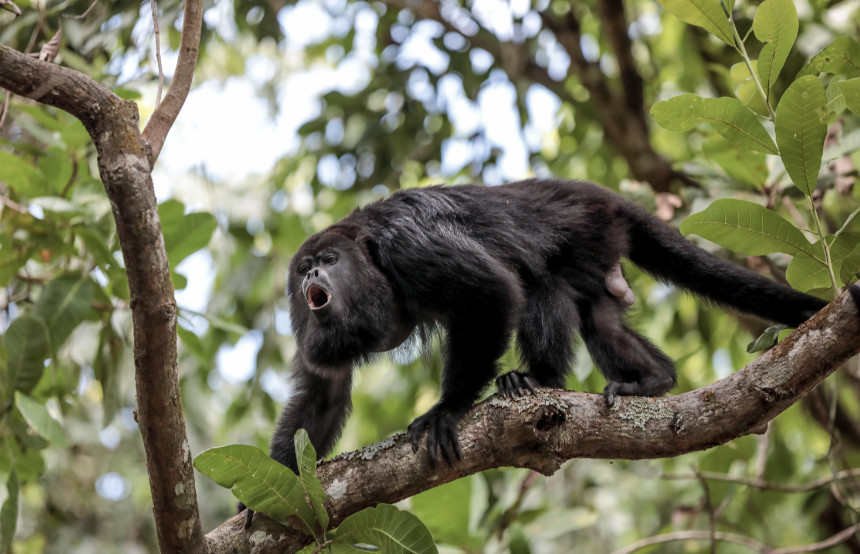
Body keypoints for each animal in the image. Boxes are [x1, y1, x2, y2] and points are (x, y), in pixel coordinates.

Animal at [245, 179, 824, 520]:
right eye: (304, 268)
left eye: (330, 260)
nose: (311, 277)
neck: (368, 257)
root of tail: (601, 195)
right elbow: (323, 392)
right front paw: (276, 489)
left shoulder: (409, 246)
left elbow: (493, 291)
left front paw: (447, 409)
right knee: (598, 316)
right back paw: (654, 378)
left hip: (588, 229)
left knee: (540, 284)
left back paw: (540, 380)